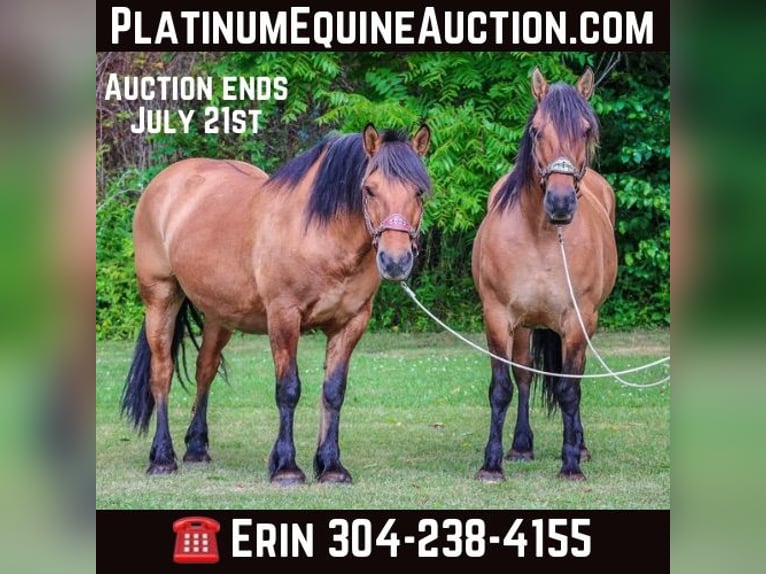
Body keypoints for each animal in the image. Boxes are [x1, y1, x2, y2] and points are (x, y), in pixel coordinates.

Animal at [120, 123, 431, 485]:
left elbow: (333, 392)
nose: (395, 261)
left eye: (419, 192)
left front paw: (331, 466)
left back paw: (196, 449)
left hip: (219, 315)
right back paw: (162, 457)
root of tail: (164, 182)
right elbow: (288, 389)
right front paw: (286, 466)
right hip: (160, 299)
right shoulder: (284, 318)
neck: (319, 234)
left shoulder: (350, 323)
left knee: (205, 369)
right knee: (162, 372)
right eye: (369, 190)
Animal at [471, 67, 617, 481]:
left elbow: (569, 390)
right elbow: (502, 387)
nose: (561, 202)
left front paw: (570, 464)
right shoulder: (497, 317)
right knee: (523, 376)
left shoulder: (577, 322)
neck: (541, 237)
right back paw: (521, 445)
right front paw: (492, 464)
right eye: (536, 130)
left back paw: (580, 447)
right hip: (523, 327)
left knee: (576, 379)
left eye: (586, 129)